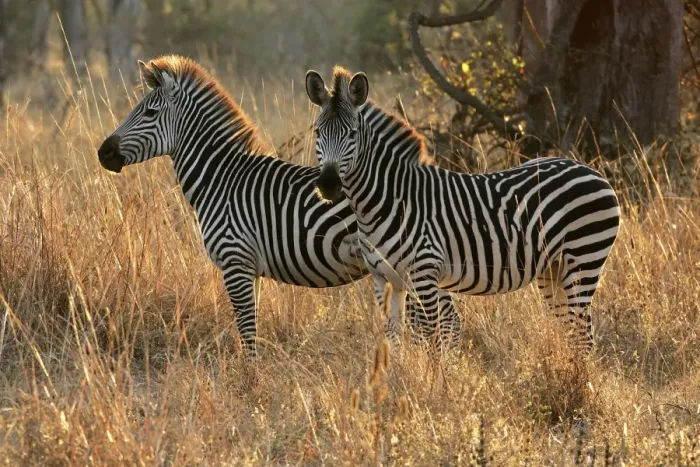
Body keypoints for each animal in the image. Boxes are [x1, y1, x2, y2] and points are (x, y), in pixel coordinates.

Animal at [97, 55, 454, 358]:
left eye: (149, 113)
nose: (103, 153)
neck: (221, 178)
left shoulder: (235, 261)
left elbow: (247, 332)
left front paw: (250, 384)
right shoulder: (249, 268)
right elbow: (249, 328)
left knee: (446, 319)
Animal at [304, 66, 621, 353]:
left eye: (352, 134)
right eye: (318, 132)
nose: (329, 184)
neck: (384, 202)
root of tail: (592, 171)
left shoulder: (424, 273)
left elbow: (431, 336)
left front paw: (433, 379)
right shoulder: (385, 278)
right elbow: (392, 337)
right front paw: (397, 378)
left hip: (584, 259)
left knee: (583, 332)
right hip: (553, 269)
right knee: (571, 330)